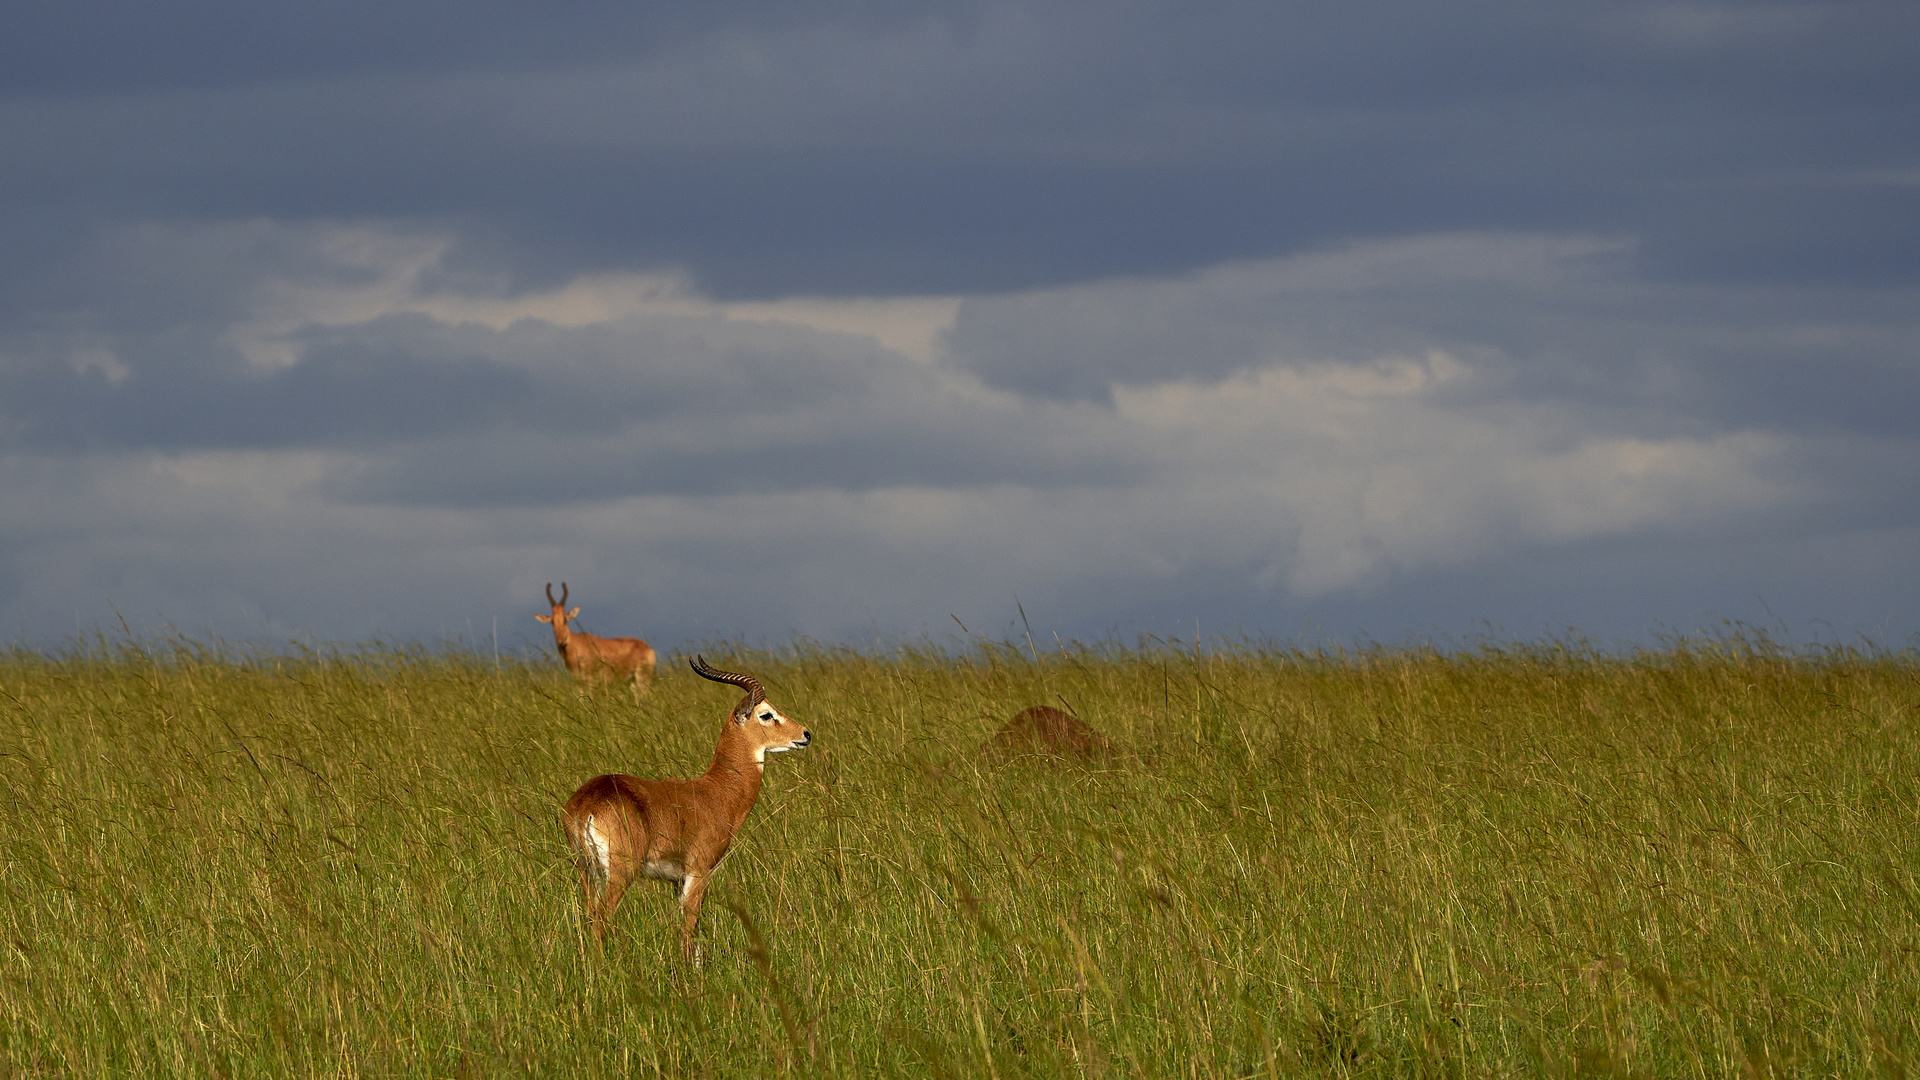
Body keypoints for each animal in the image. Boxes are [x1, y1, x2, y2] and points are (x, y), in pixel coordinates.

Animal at [556, 653, 810, 953]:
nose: (805, 734)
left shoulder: (677, 881)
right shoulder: (699, 873)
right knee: (600, 920)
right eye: (766, 714)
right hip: (620, 873)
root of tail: (588, 801)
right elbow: (689, 934)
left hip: (587, 871)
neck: (717, 791)